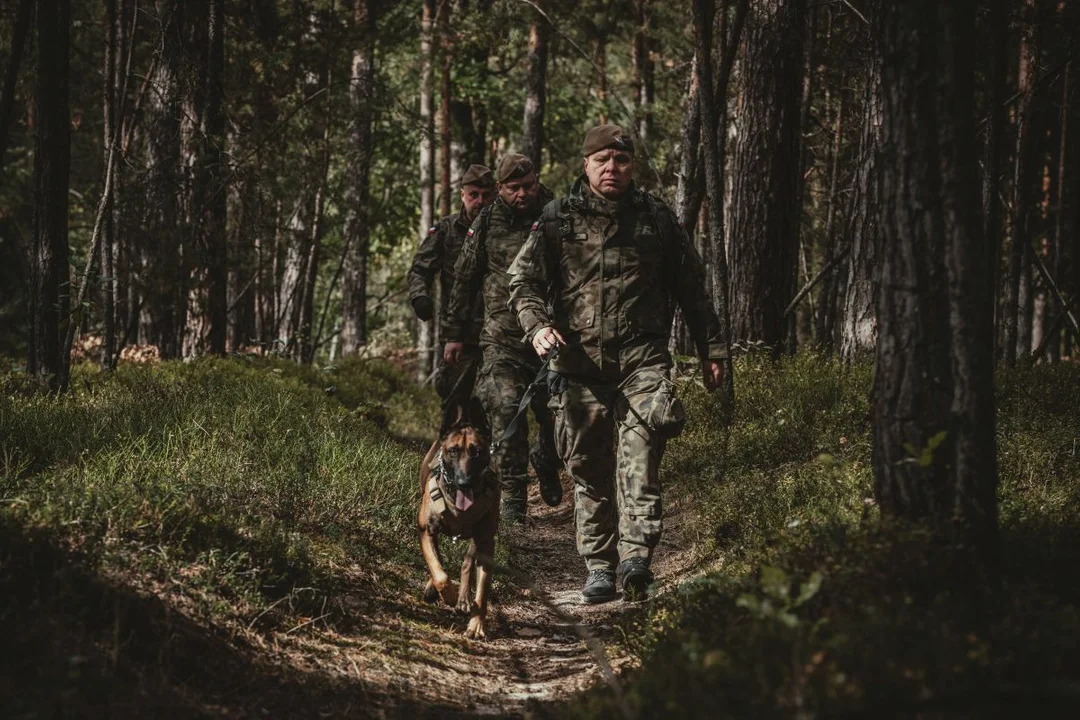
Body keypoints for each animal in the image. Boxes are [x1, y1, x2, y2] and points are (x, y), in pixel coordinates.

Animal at [414, 397, 498, 639]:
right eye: (453, 451)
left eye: (476, 452)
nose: (464, 482)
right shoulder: (426, 529)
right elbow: (439, 573)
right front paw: (446, 593)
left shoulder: (486, 543)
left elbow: (482, 590)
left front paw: (477, 624)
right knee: (439, 560)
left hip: (478, 540)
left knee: (467, 563)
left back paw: (464, 598)